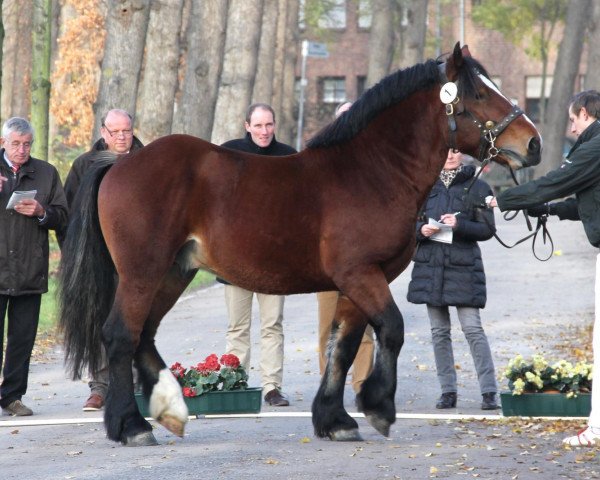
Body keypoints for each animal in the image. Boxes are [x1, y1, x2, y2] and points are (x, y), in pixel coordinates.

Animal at [58, 45, 540, 446]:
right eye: (479, 93)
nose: (532, 143)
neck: (370, 172)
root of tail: (121, 162)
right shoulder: (361, 274)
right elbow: (392, 328)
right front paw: (377, 406)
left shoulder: (360, 280)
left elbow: (344, 344)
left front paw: (335, 419)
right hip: (143, 272)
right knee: (120, 335)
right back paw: (131, 426)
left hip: (174, 272)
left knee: (144, 334)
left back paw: (170, 411)